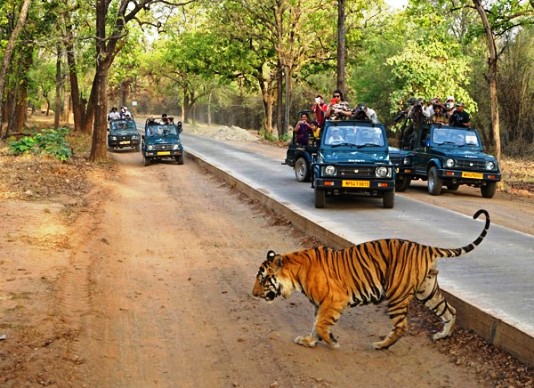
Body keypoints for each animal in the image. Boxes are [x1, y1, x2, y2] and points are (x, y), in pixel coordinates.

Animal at [253, 211, 492, 350]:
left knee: (402, 326)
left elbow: (321, 324)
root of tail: (425, 247)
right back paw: (442, 335)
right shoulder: (320, 304)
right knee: (449, 310)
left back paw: (381, 345)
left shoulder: (334, 300)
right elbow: (315, 325)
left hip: (397, 295)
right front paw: (309, 341)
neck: (295, 274)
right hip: (427, 290)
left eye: (263, 279)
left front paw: (332, 342)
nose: (253, 294)